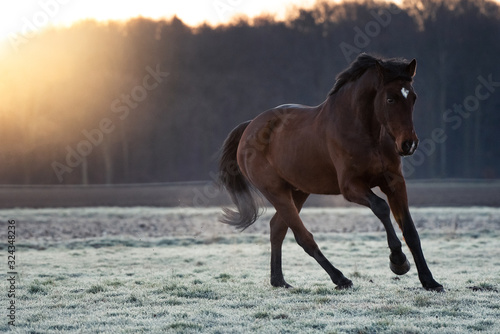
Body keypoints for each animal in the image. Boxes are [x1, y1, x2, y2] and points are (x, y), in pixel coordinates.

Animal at [218, 53, 442, 290]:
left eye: (413, 97)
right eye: (390, 99)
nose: (409, 144)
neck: (365, 132)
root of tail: (250, 126)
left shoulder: (394, 182)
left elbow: (410, 231)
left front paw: (429, 281)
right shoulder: (351, 187)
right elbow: (381, 207)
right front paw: (398, 261)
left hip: (298, 191)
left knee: (277, 228)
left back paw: (279, 281)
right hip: (276, 191)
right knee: (302, 236)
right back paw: (340, 278)